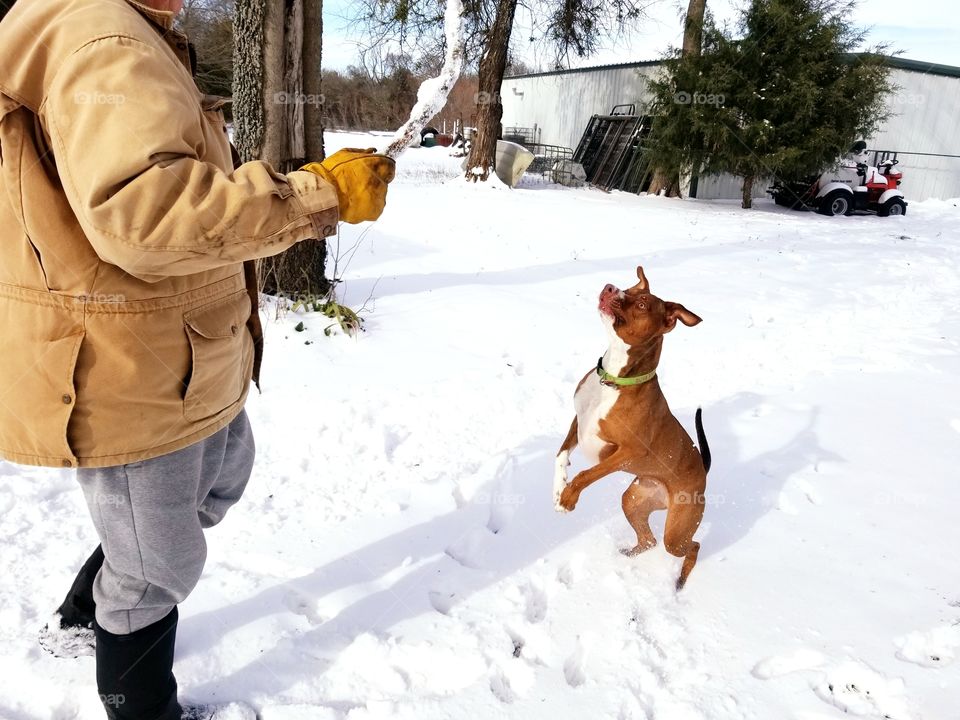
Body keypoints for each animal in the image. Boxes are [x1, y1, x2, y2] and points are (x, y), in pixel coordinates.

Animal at [552, 268, 708, 588]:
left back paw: (681, 580)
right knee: (649, 540)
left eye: (642, 304)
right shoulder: (579, 420)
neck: (613, 380)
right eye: (630, 288)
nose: (610, 288)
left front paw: (569, 498)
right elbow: (560, 456)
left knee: (692, 546)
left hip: (678, 530)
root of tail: (704, 470)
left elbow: (586, 474)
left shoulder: (628, 452)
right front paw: (558, 489)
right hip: (634, 501)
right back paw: (629, 553)